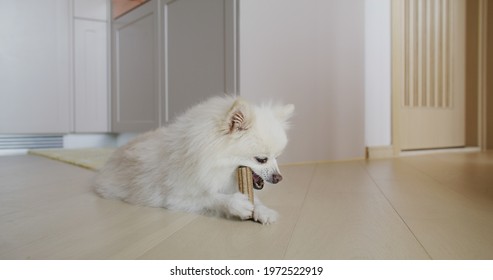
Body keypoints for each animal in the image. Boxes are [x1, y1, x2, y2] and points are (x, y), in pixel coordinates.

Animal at [93, 95, 292, 224]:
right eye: (261, 159)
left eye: (277, 157)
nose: (279, 177)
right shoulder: (175, 197)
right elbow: (209, 196)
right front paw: (234, 204)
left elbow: (255, 200)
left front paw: (263, 210)